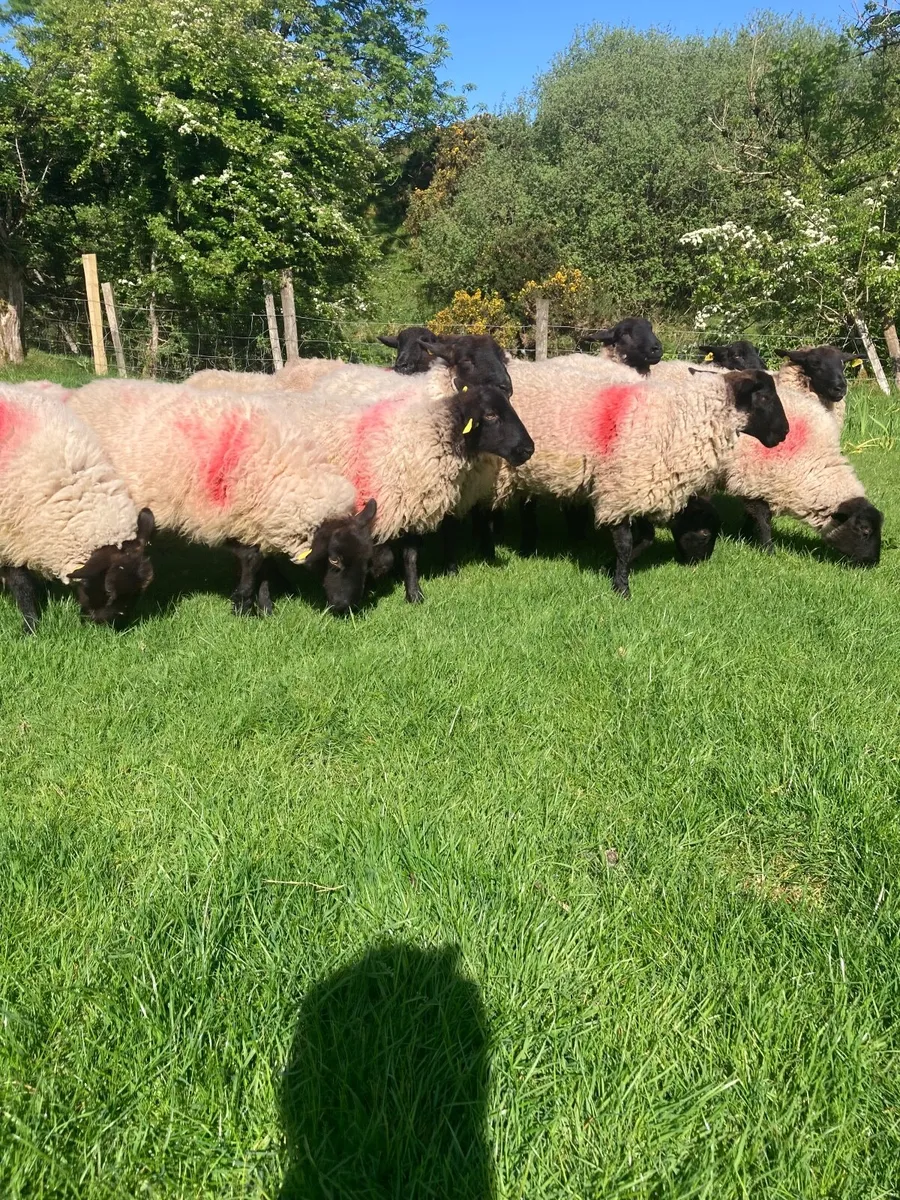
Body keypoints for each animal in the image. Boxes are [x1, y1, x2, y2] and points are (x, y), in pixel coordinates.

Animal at [0, 386, 154, 633]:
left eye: (139, 592)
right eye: (108, 590)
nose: (108, 626)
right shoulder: (9, 533)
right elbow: (21, 583)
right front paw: (30, 625)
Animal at [67, 379, 383, 616]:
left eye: (367, 560)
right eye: (334, 560)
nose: (346, 607)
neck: (281, 466)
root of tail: (86, 389)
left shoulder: (257, 521)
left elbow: (262, 562)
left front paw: (265, 604)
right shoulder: (218, 519)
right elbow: (252, 559)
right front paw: (243, 604)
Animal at [486, 362, 788, 597]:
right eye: (764, 398)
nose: (784, 432)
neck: (677, 422)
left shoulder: (642, 488)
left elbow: (646, 538)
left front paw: (609, 567)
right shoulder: (620, 489)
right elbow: (626, 542)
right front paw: (621, 588)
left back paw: (526, 547)